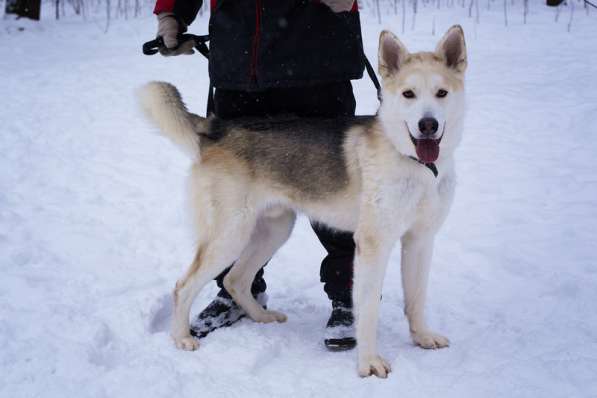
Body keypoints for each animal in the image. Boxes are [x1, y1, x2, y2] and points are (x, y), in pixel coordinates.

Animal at [139, 25, 466, 380]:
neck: (415, 163)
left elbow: (416, 299)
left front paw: (422, 337)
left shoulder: (420, 240)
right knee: (183, 286)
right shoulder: (373, 245)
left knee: (235, 279)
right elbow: (368, 311)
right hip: (230, 237)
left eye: (441, 93)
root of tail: (218, 129)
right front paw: (368, 362)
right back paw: (181, 337)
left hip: (274, 230)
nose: (427, 125)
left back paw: (262, 319)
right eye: (408, 94)